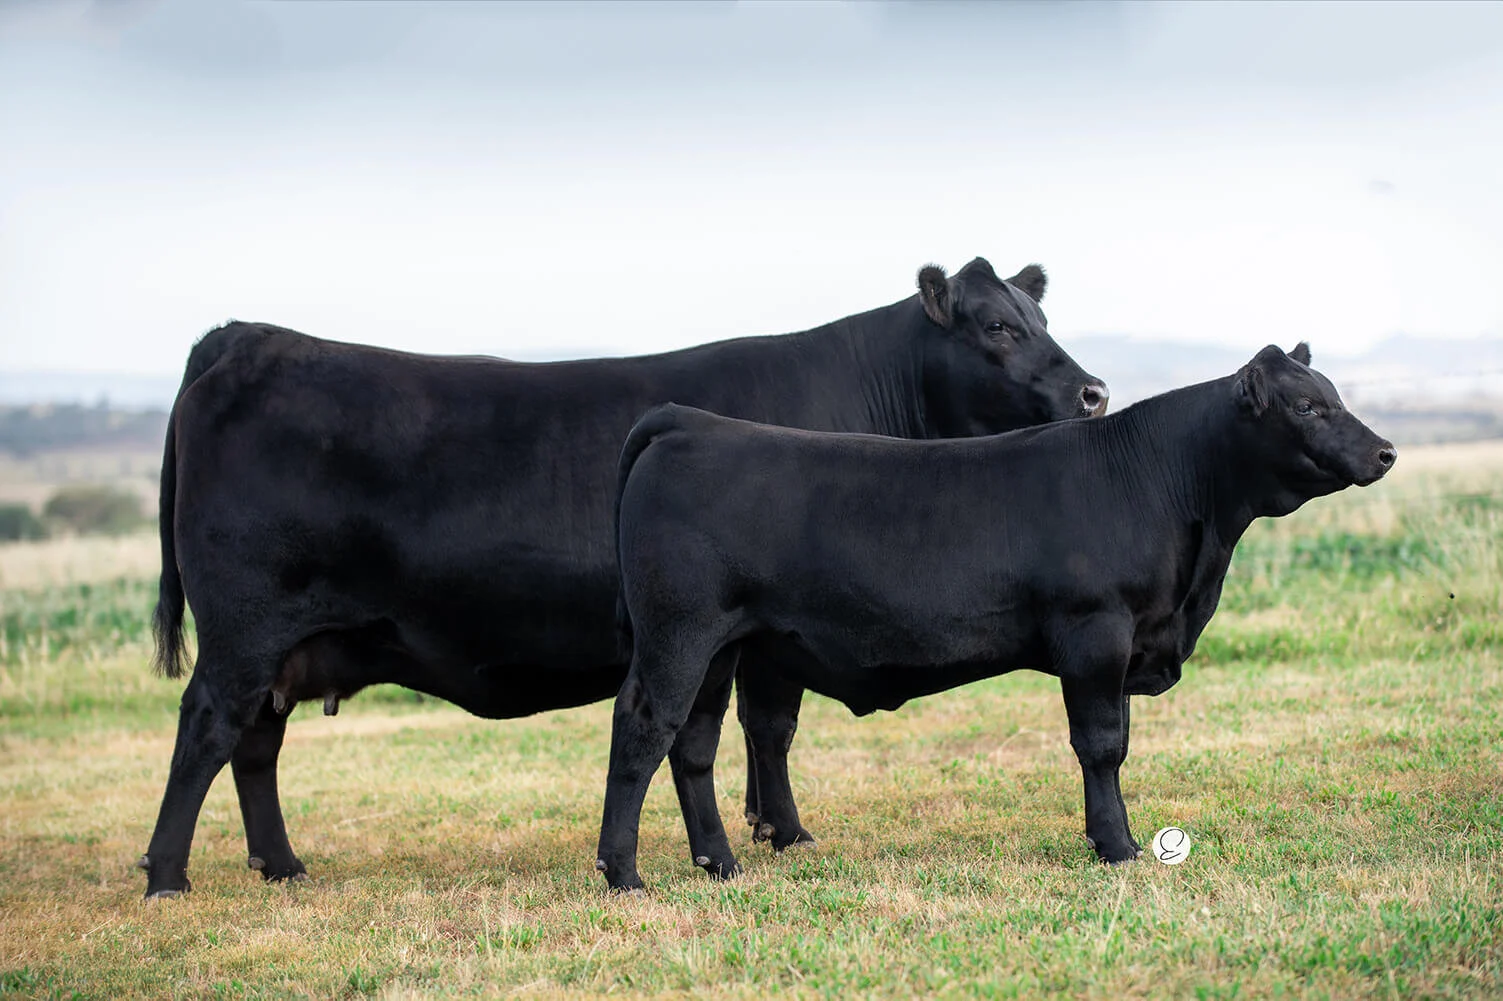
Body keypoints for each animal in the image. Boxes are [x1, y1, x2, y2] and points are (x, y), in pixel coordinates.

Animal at [137, 256, 1108, 898]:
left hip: (286, 645)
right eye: (998, 327)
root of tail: (247, 338)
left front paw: (756, 830)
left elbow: (736, 733)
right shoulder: (772, 630)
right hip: (244, 625)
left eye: (1041, 321)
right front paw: (786, 831)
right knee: (206, 728)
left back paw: (281, 865)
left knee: (254, 743)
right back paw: (168, 874)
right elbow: (771, 727)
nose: (1094, 393)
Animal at [595, 343, 1396, 891]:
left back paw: (720, 862)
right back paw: (623, 872)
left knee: (694, 743)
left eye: (1332, 394)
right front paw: (1117, 845)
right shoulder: (1095, 633)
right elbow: (1101, 745)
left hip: (725, 647)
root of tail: (686, 422)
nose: (1385, 451)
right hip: (679, 633)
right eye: (1306, 406)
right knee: (643, 727)